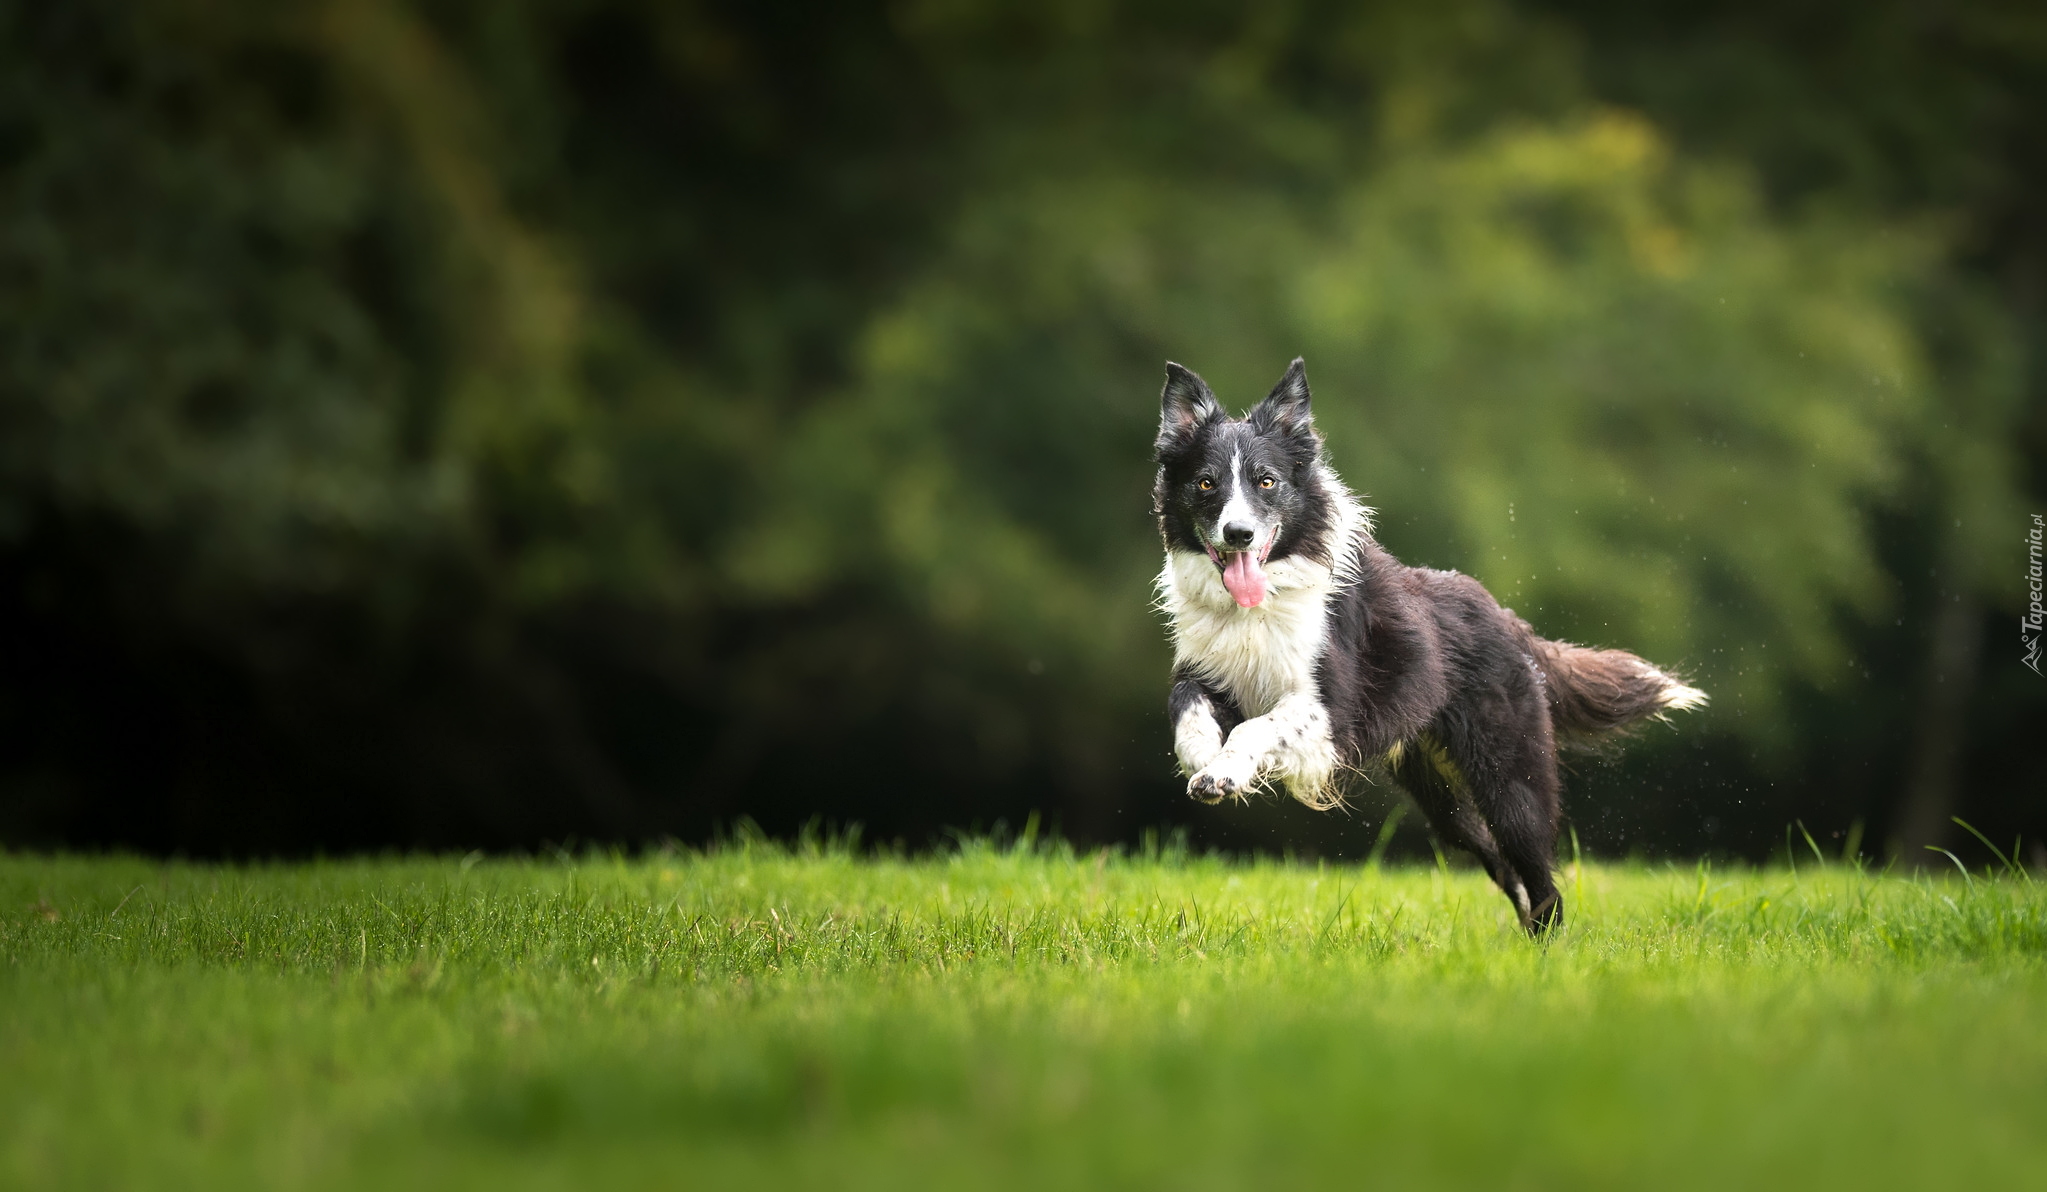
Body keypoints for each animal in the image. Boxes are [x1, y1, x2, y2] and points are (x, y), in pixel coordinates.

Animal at [1154, 360, 1711, 938]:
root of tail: (1508, 620)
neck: (1257, 604)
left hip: (1510, 780)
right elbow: (1186, 706)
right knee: (1500, 862)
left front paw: (1224, 772)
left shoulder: (1330, 711)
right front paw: (1203, 761)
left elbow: (1255, 728)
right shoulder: (1206, 672)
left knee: (1541, 878)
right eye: (1206, 483)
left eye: (1266, 480)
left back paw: (1550, 951)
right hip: (1441, 798)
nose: (1238, 533)